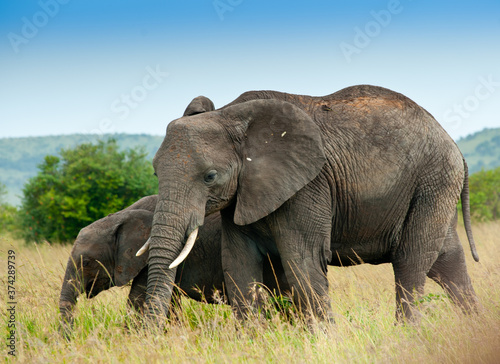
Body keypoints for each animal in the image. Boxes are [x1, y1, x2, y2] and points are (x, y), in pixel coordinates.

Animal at [146, 86, 480, 328]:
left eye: (210, 176)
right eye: (155, 173)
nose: (157, 335)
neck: (228, 115)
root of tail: (452, 142)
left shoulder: (308, 186)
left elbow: (302, 260)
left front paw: (325, 340)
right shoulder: (242, 194)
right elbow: (238, 264)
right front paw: (253, 339)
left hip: (432, 180)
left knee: (411, 260)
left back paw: (408, 335)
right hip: (434, 186)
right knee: (446, 260)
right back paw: (474, 327)